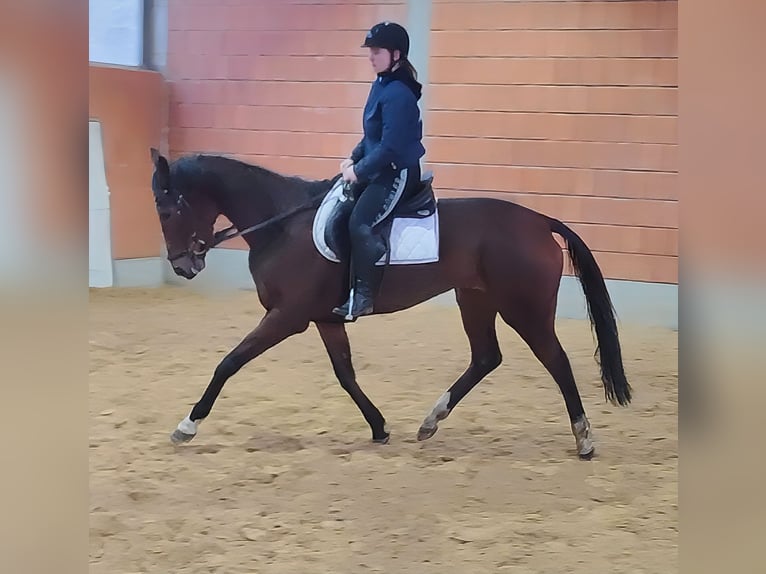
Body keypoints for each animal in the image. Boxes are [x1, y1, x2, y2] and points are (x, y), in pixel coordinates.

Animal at [149, 148, 631, 459]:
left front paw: (187, 425)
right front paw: (379, 427)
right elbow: (345, 374)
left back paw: (584, 439)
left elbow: (228, 363)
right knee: (485, 358)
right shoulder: (325, 319)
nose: (183, 266)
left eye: (167, 211)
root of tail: (539, 221)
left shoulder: (287, 317)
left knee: (556, 360)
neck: (282, 224)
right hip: (475, 300)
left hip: (523, 309)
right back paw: (431, 421)